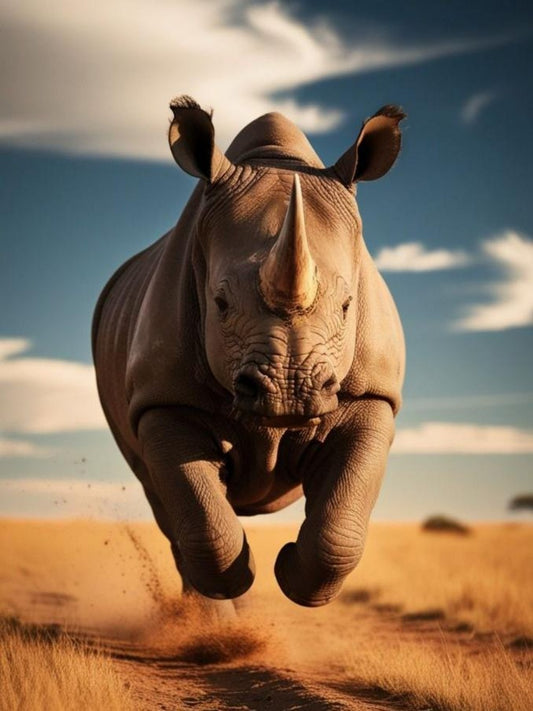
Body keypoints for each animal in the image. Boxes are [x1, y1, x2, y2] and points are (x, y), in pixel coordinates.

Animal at [92, 96, 405, 610]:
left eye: (347, 306)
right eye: (220, 303)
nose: (289, 391)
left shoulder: (373, 393)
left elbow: (339, 526)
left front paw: (290, 573)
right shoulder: (162, 396)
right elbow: (200, 520)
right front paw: (244, 581)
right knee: (165, 505)